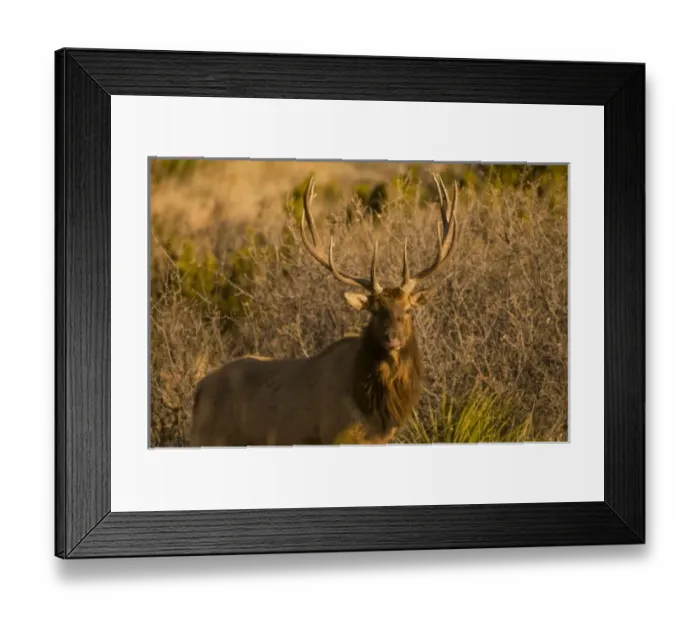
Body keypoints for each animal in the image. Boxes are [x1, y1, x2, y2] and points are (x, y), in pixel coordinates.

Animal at [189, 173, 458, 447]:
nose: (392, 338)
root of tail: (199, 390)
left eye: (408, 309)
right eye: (374, 311)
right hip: (209, 438)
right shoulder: (334, 434)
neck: (371, 411)